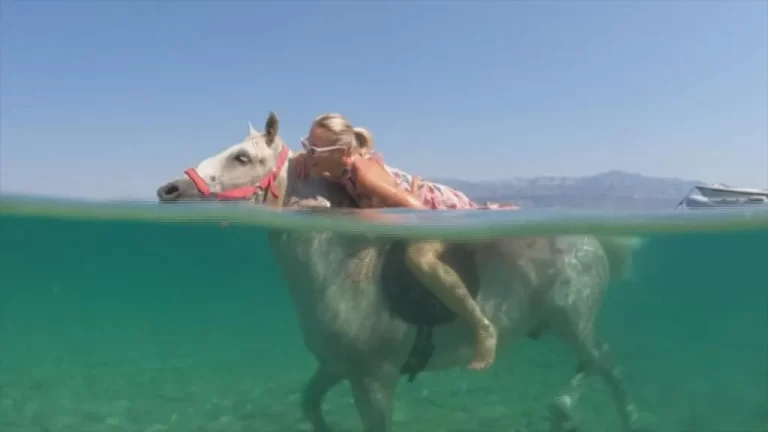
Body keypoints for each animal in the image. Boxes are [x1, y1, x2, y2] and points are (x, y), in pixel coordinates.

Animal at [156, 112, 655, 432]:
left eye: (241, 157)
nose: (168, 190)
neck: (342, 269)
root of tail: (592, 241)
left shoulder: (374, 382)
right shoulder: (335, 368)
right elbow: (309, 403)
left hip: (572, 319)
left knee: (602, 361)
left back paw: (598, 413)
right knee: (596, 361)